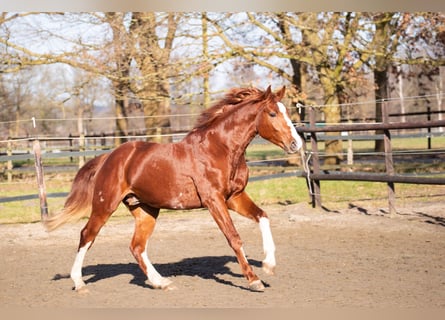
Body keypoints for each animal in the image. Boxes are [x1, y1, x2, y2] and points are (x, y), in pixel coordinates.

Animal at [45, 85, 302, 292]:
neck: (220, 149)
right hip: (104, 205)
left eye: (287, 112)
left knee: (137, 246)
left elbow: (263, 216)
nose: (296, 144)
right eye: (272, 113)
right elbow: (234, 238)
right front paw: (254, 280)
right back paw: (79, 283)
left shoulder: (234, 197)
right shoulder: (214, 200)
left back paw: (161, 282)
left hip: (145, 210)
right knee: (87, 235)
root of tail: (109, 157)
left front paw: (269, 265)